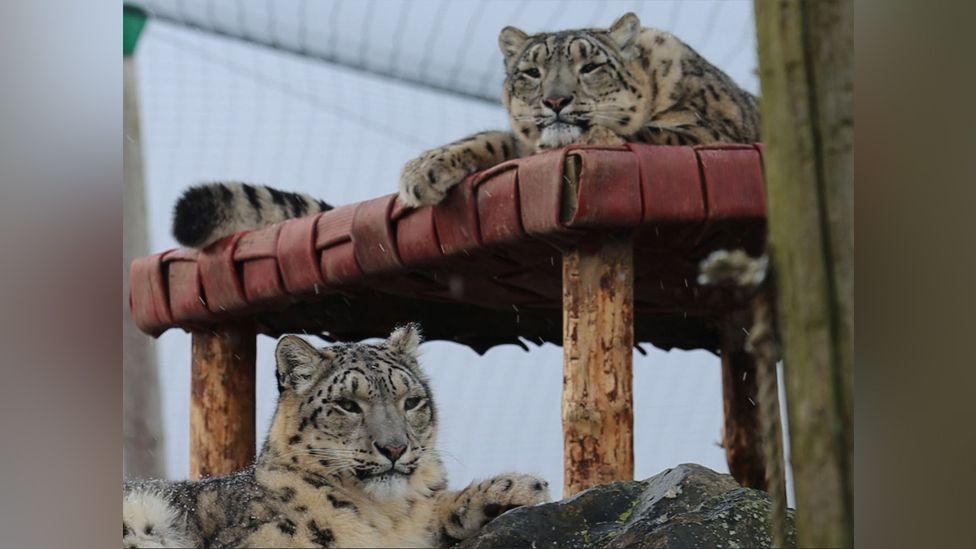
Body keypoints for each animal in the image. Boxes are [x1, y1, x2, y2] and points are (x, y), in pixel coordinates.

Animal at [122, 324, 548, 544]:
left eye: (411, 401)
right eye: (347, 404)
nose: (395, 447)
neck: (384, 516)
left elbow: (437, 509)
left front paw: (518, 488)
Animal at [172, 11, 760, 247]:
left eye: (591, 65)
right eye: (530, 71)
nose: (556, 100)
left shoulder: (704, 132)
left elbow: (637, 133)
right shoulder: (517, 139)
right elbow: (491, 140)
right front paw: (423, 171)